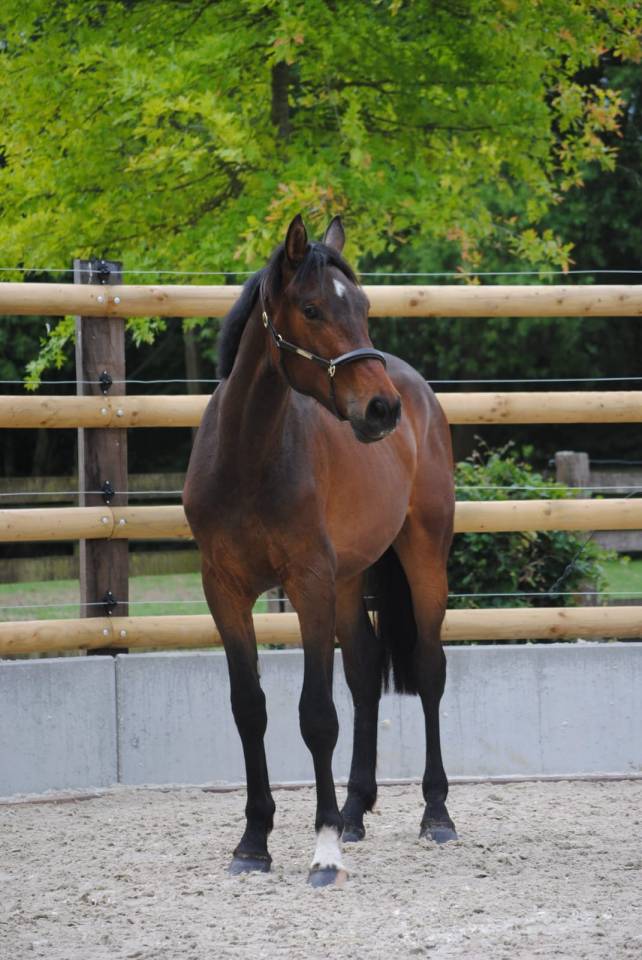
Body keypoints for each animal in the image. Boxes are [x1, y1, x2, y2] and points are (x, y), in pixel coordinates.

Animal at [183, 214, 456, 887]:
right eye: (311, 309)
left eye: (362, 306)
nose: (381, 409)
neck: (248, 458)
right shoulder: (224, 589)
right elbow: (250, 708)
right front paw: (254, 841)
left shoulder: (307, 583)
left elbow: (316, 715)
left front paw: (324, 845)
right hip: (349, 578)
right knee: (363, 670)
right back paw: (357, 809)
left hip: (422, 557)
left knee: (430, 669)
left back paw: (435, 813)